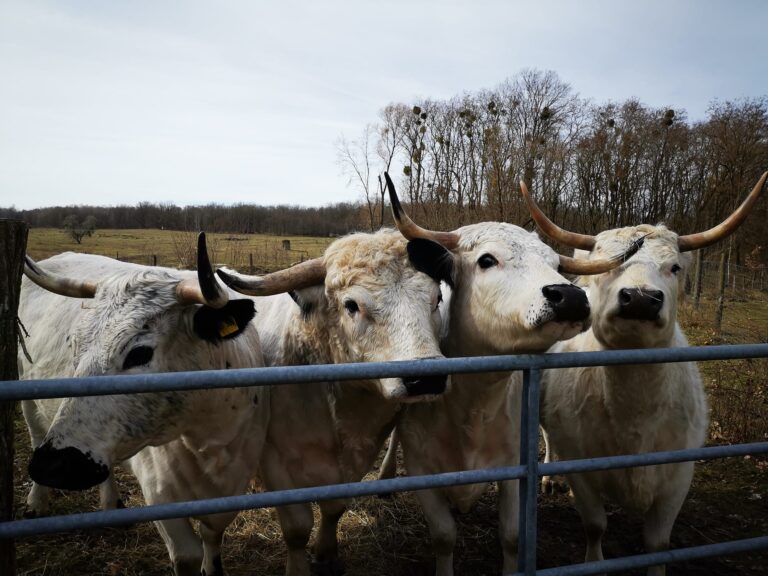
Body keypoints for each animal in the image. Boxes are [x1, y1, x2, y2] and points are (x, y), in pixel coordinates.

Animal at [19, 235, 270, 576]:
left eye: (139, 353)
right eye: (75, 346)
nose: (54, 465)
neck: (208, 437)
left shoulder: (234, 481)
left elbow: (212, 534)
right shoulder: (159, 494)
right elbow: (187, 555)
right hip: (28, 398)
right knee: (35, 434)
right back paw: (36, 502)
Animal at [216, 230, 450, 576]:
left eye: (437, 299)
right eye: (351, 304)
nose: (427, 378)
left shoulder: (361, 454)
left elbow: (334, 507)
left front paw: (326, 552)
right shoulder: (276, 460)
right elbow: (297, 528)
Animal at [376, 176, 640, 576]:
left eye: (554, 263)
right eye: (487, 259)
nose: (569, 296)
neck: (472, 405)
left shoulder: (515, 471)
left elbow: (513, 536)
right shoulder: (425, 474)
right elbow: (444, 536)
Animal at [524, 172, 764, 576]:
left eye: (675, 267)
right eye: (606, 266)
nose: (638, 298)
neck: (634, 411)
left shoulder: (677, 476)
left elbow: (657, 543)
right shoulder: (583, 474)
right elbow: (595, 526)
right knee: (548, 436)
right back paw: (552, 476)